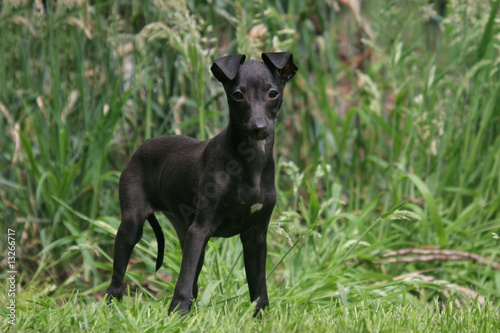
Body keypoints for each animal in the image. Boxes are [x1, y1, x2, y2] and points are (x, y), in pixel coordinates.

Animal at [105, 52, 296, 314]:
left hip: (186, 232)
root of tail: (140, 147)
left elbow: (259, 287)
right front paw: (176, 312)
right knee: (116, 281)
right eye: (238, 94)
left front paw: (261, 317)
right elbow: (184, 280)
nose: (259, 128)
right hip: (134, 224)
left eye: (273, 93)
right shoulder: (201, 229)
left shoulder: (256, 236)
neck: (249, 163)